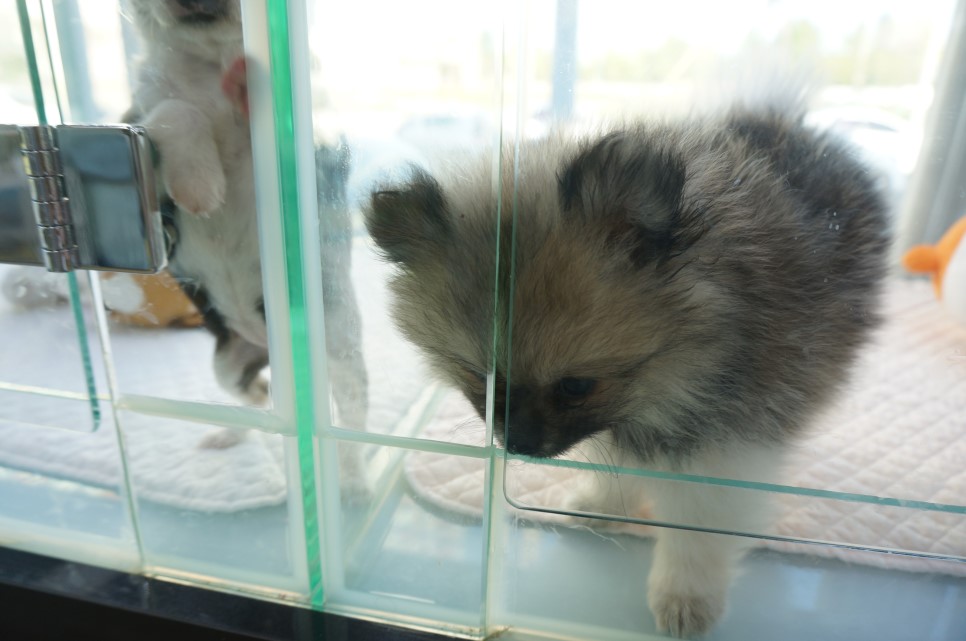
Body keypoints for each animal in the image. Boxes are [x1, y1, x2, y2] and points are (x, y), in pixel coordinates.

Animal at [124, 0, 369, 473]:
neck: (213, 62)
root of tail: (268, 347)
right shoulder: (142, 125)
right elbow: (175, 110)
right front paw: (200, 185)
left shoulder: (320, 153)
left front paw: (250, 90)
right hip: (228, 363)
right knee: (257, 401)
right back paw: (228, 432)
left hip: (340, 352)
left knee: (349, 424)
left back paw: (353, 478)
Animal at [365, 100, 890, 636]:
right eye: (482, 378)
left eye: (577, 385)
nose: (519, 446)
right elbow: (614, 462)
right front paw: (602, 505)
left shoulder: (725, 448)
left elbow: (696, 533)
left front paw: (685, 597)